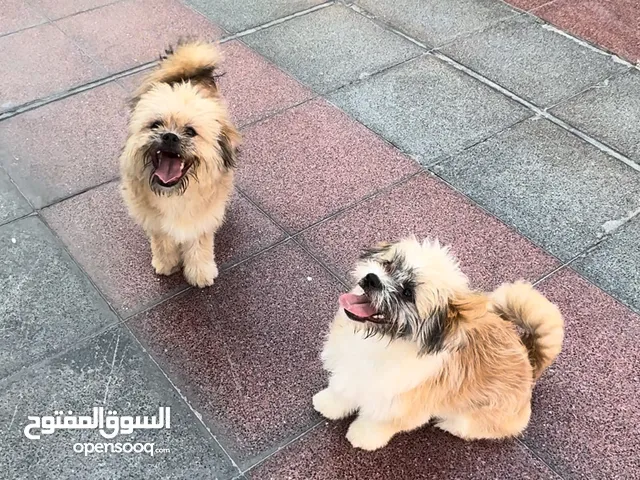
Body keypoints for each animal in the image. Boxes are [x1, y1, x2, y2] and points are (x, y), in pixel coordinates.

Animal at [120, 41, 240, 286]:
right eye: (156, 124)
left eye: (191, 131)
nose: (169, 136)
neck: (174, 193)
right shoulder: (155, 222)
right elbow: (163, 241)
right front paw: (166, 263)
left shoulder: (202, 219)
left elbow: (199, 245)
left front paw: (200, 272)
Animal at [316, 238, 564, 452]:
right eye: (388, 265)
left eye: (407, 293)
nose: (371, 278)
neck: (382, 341)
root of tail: (530, 363)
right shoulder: (351, 373)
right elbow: (341, 391)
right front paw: (328, 404)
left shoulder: (397, 407)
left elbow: (377, 423)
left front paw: (362, 437)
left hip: (471, 418)